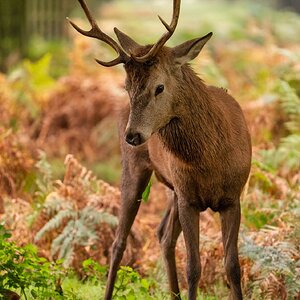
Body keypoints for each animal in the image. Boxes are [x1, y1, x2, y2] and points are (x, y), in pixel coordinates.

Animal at [68, 1, 251, 298]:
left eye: (159, 87)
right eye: (127, 86)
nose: (132, 135)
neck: (212, 160)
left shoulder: (233, 198)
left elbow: (233, 266)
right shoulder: (188, 199)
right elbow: (194, 266)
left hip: (172, 189)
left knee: (163, 235)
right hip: (135, 169)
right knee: (119, 242)